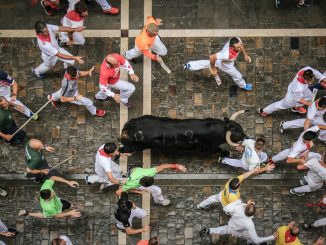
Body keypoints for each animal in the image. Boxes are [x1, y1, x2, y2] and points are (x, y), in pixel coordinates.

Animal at [119, 112, 247, 154]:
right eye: (237, 136)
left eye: (241, 127)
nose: (246, 137)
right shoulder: (209, 149)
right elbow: (218, 151)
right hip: (134, 147)